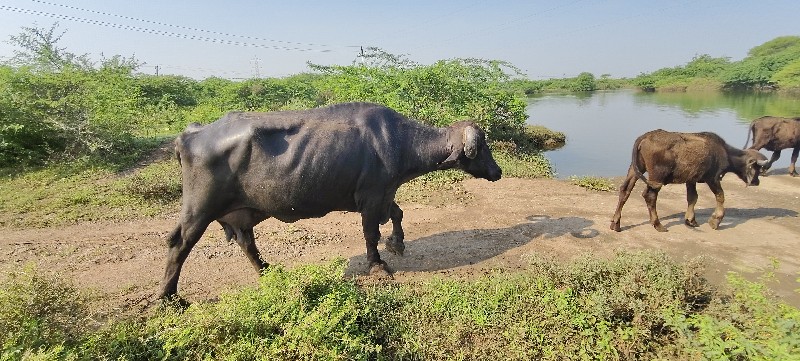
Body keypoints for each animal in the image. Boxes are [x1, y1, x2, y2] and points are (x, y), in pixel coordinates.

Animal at [159, 102, 504, 298]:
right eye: (483, 146)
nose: (498, 171)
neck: (397, 141)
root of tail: (191, 134)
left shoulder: (384, 194)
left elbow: (398, 214)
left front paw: (398, 243)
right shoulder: (372, 197)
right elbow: (371, 234)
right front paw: (378, 264)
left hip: (241, 211)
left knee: (246, 242)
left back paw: (269, 270)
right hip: (199, 210)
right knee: (179, 244)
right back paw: (170, 297)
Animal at [612, 129, 768, 231]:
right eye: (757, 168)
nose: (757, 182)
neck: (724, 153)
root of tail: (644, 137)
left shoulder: (691, 180)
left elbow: (692, 197)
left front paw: (690, 220)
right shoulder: (712, 178)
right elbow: (720, 196)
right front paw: (715, 221)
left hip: (635, 168)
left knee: (625, 190)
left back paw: (616, 223)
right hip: (657, 176)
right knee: (650, 195)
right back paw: (657, 224)